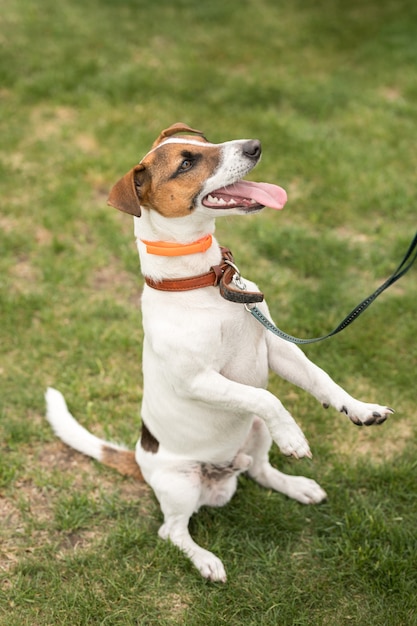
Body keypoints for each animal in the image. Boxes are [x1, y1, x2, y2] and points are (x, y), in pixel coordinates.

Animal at [46, 120, 394, 580]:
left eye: (205, 140)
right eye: (186, 163)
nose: (255, 145)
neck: (204, 280)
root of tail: (140, 459)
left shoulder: (276, 348)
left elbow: (320, 378)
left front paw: (358, 408)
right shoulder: (199, 380)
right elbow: (265, 396)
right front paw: (293, 435)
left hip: (255, 432)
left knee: (262, 471)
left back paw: (298, 487)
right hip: (181, 483)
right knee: (172, 531)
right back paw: (205, 560)